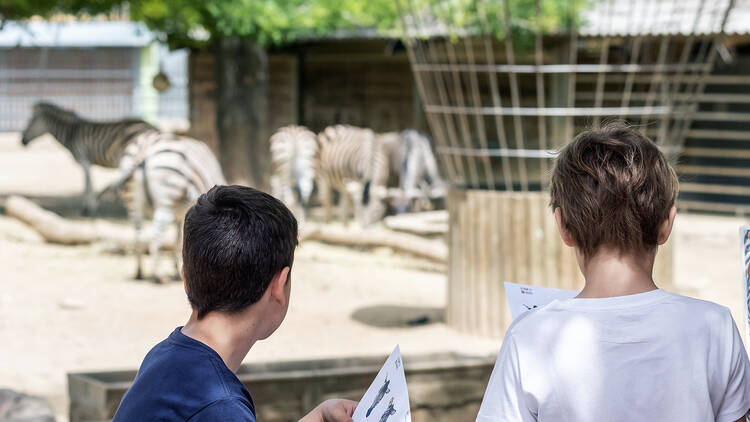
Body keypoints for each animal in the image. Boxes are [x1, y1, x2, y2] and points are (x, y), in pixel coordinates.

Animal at [20, 101, 159, 214]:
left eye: (30, 121)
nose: (22, 141)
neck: (71, 133)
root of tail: (152, 127)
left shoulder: (84, 160)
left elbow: (87, 183)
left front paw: (88, 208)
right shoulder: (86, 161)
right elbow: (88, 182)